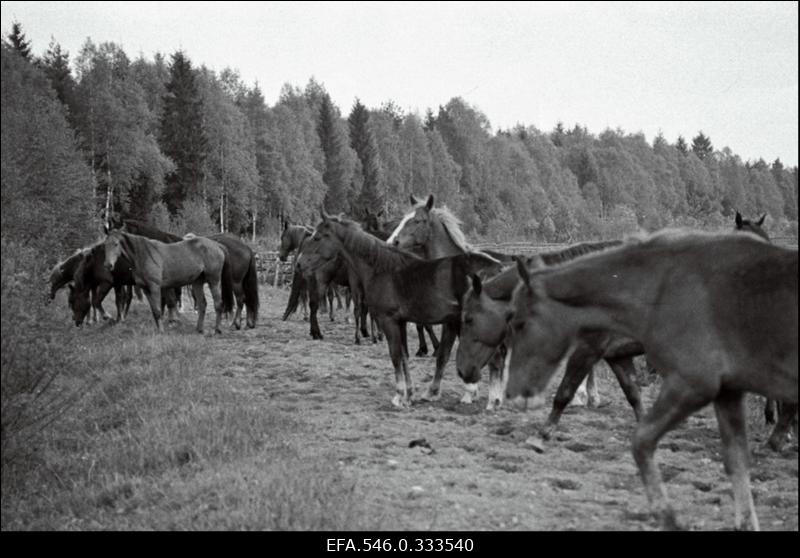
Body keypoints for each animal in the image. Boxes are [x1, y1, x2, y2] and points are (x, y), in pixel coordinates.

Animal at [104, 230, 234, 334]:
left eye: (116, 244)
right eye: (105, 245)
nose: (108, 265)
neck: (144, 255)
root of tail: (217, 245)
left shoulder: (155, 288)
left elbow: (157, 310)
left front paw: (161, 331)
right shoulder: (146, 290)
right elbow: (154, 311)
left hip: (214, 281)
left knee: (218, 304)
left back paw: (217, 330)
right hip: (197, 283)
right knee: (202, 304)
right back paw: (199, 329)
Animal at [312, 212, 500, 410]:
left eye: (317, 237)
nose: (302, 264)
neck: (382, 269)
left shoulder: (388, 321)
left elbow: (395, 356)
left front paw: (399, 395)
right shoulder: (400, 321)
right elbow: (403, 356)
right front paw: (409, 394)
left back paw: (489, 399)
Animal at [504, 230, 796, 532]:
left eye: (519, 322)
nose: (513, 394)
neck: (660, 288)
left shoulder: (688, 382)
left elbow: (626, 429)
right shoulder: (722, 390)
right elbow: (735, 461)